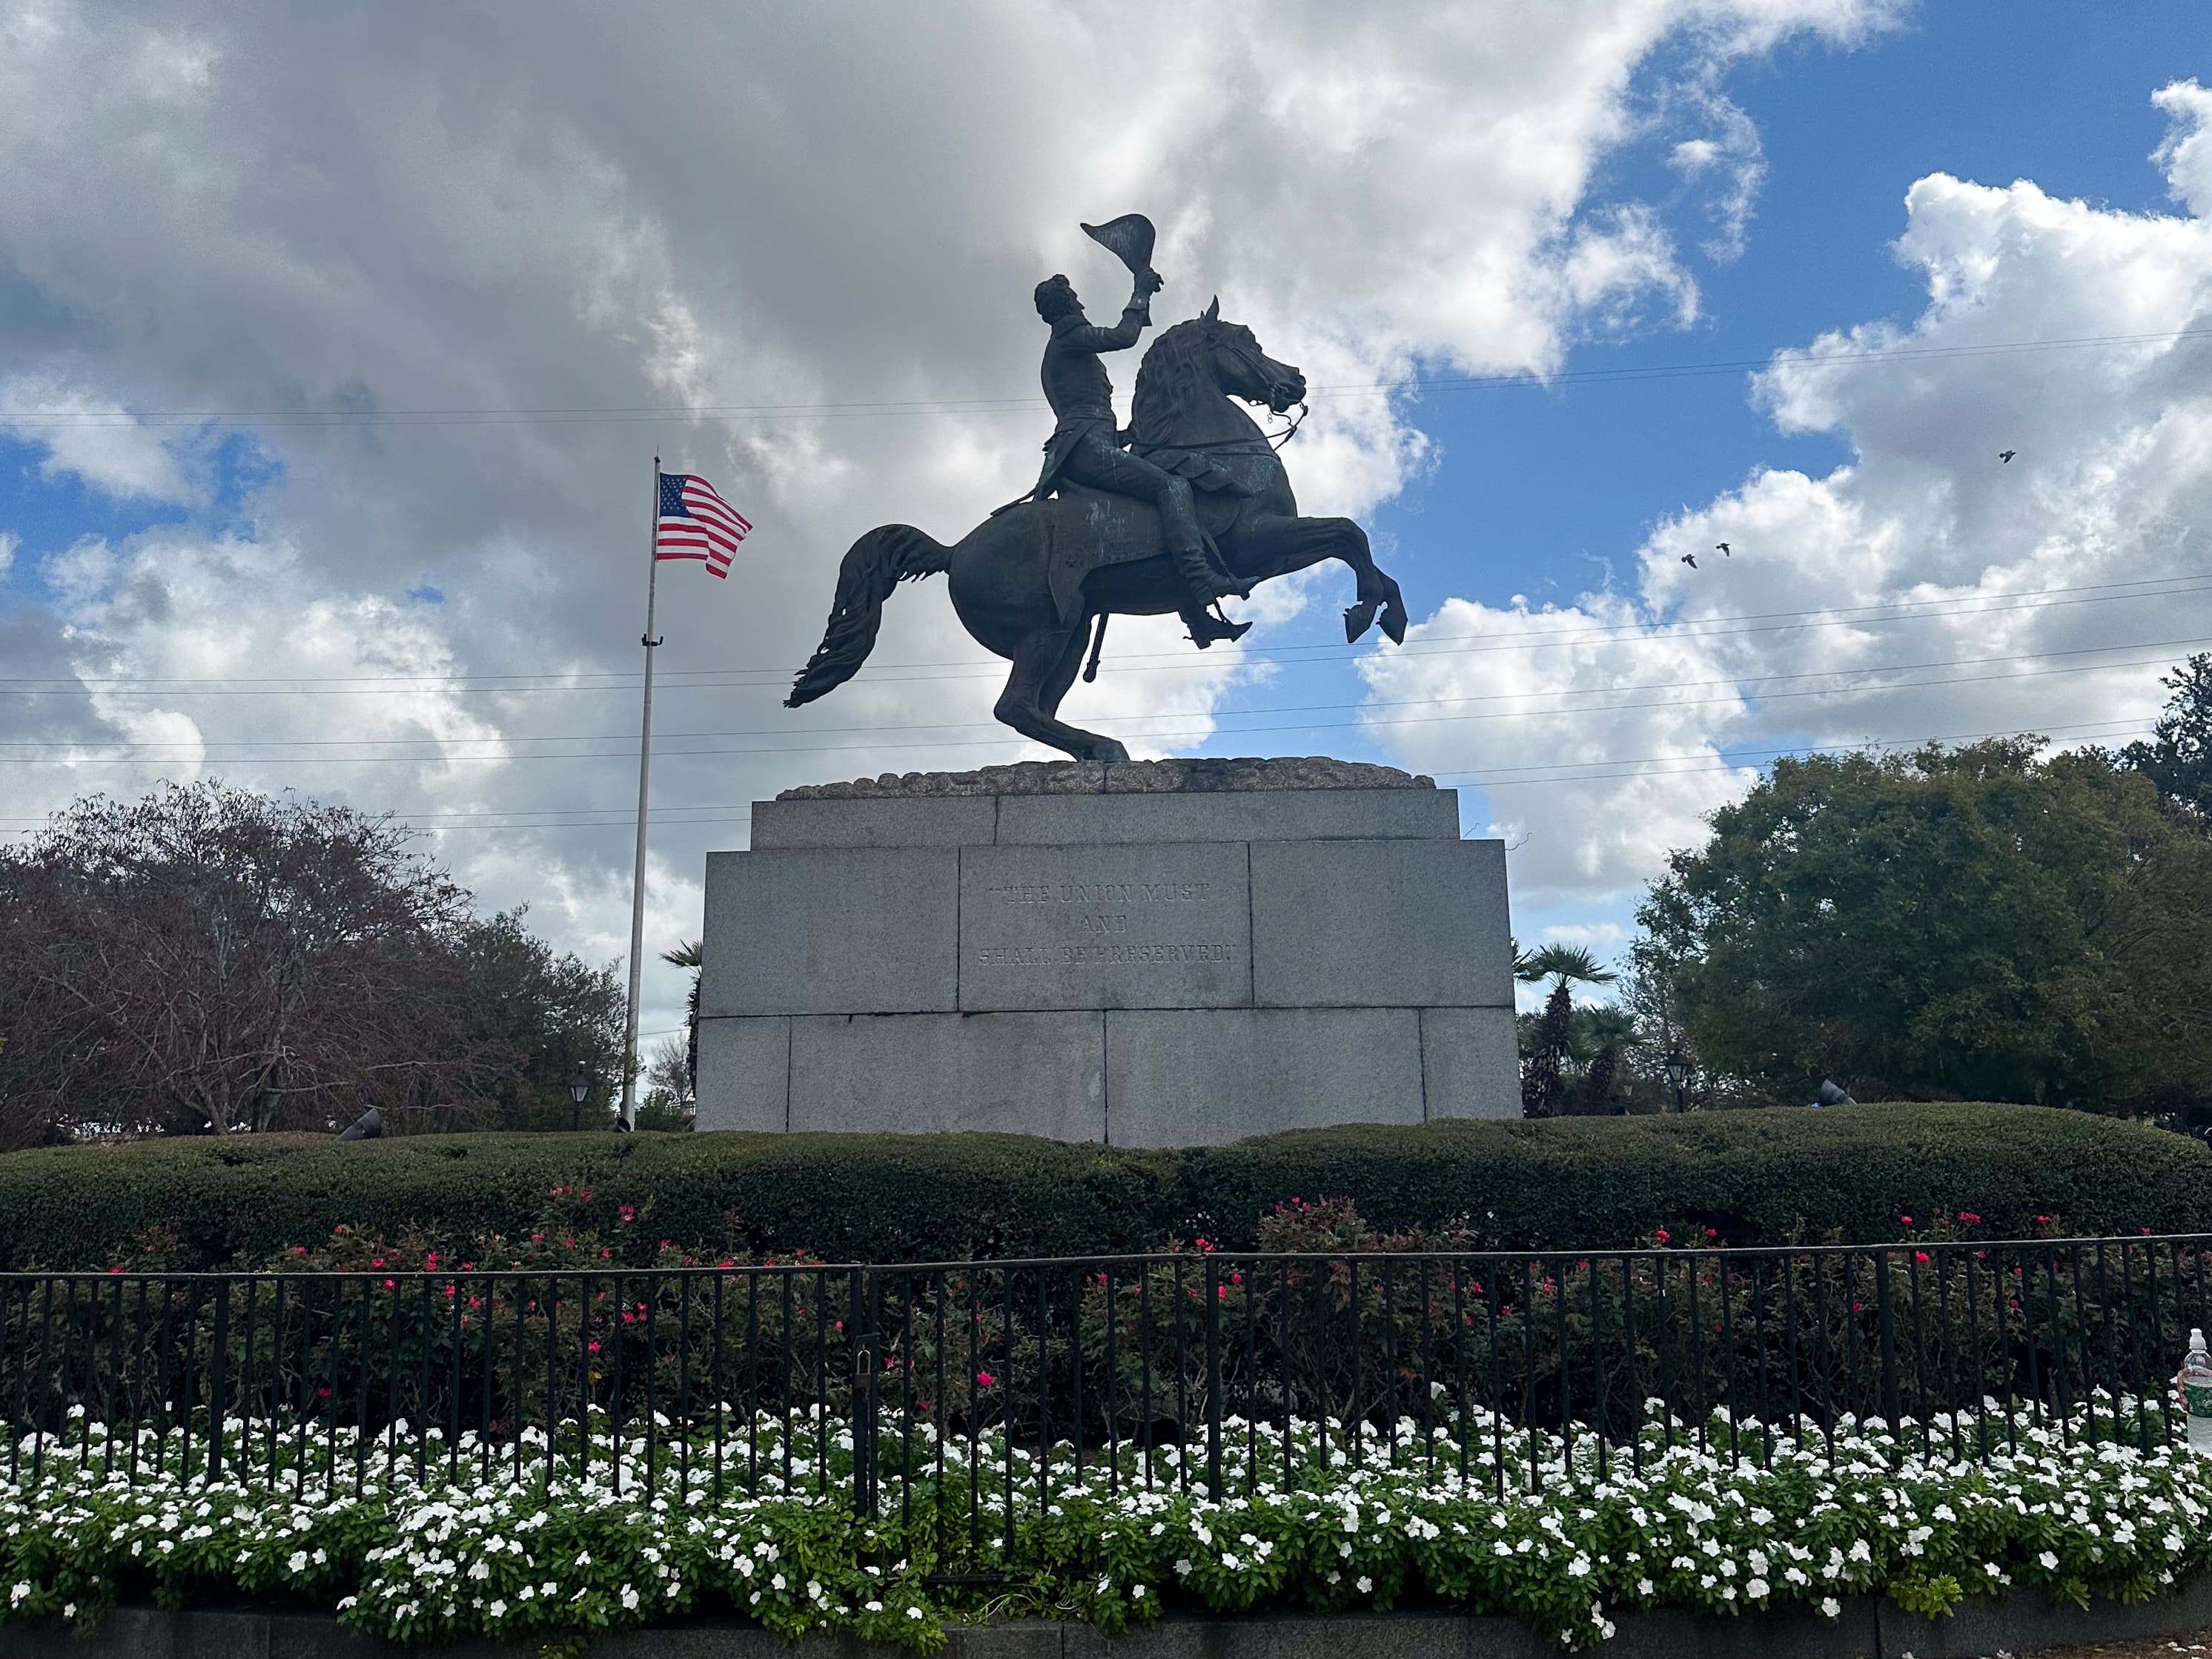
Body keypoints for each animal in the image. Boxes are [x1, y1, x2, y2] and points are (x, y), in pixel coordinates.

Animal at [787, 302, 1406, 761]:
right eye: (1247, 341)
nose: (1294, 380)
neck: (1222, 452)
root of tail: (955, 550)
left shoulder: (1271, 546)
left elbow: (1359, 546)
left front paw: (1392, 615)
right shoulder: (1261, 541)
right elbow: (1349, 534)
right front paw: (1362, 611)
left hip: (1075, 632)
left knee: (1036, 708)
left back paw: (1094, 751)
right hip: (1046, 630)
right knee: (1014, 705)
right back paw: (1106, 747)